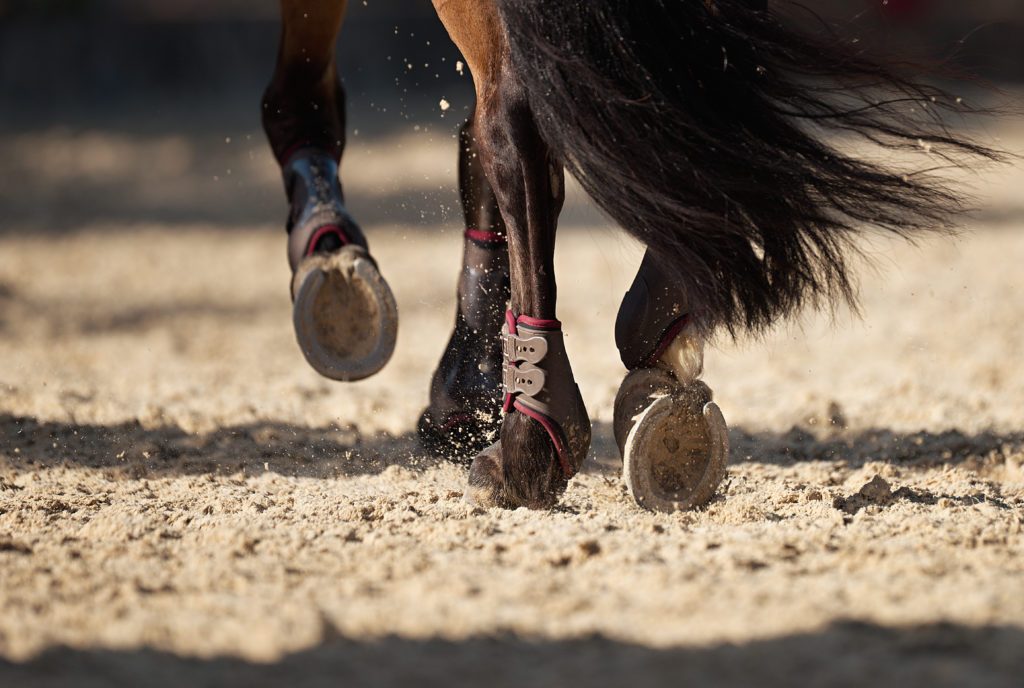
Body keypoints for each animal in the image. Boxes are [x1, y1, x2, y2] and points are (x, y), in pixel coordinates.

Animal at [262, 0, 999, 509]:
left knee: (513, 123)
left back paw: (529, 443)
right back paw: (661, 312)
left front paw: (330, 253)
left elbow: (302, 93)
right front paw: (465, 387)